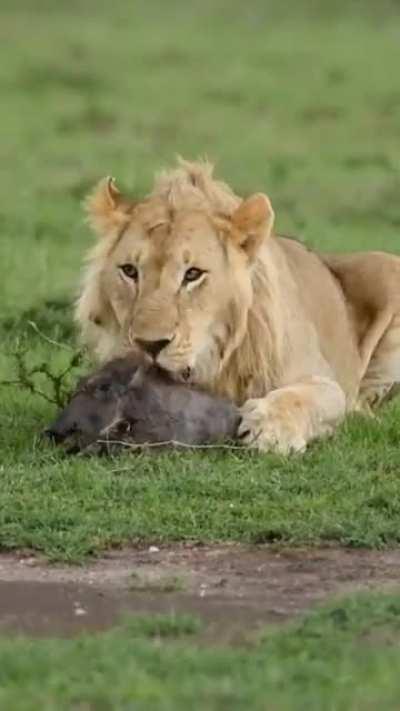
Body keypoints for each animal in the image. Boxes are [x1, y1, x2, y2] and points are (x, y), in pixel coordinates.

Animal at [75, 159, 400, 453]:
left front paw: (270, 427)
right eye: (129, 271)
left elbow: (312, 396)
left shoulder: (323, 377)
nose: (148, 345)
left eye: (192, 274)